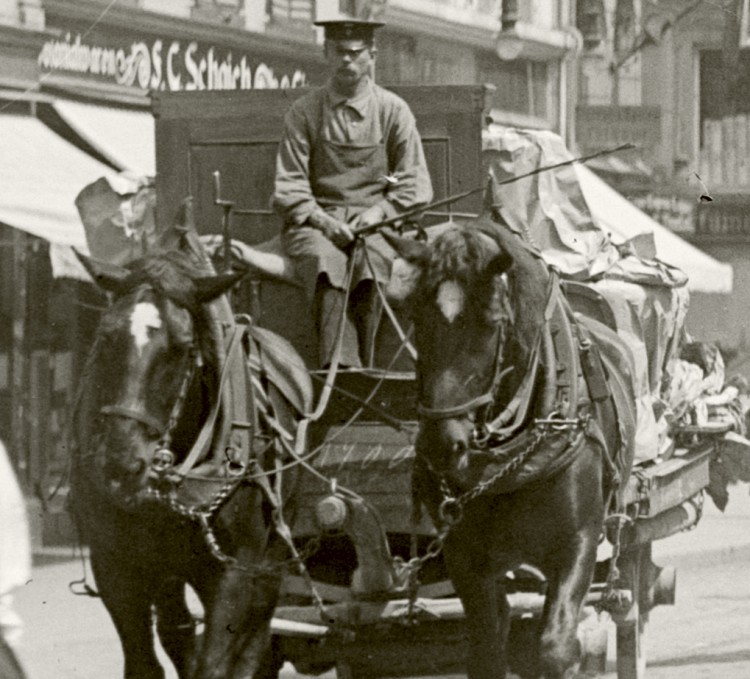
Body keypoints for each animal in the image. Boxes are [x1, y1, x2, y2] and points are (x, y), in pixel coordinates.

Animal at [68, 230, 308, 679]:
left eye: (180, 348)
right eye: (106, 337)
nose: (121, 464)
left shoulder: (235, 571)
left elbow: (215, 664)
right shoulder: (114, 565)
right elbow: (145, 663)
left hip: (271, 557)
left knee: (256, 633)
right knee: (177, 630)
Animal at [384, 214, 636, 679]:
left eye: (492, 322)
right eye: (416, 317)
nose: (442, 444)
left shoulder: (578, 541)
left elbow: (556, 648)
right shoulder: (464, 555)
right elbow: (487, 646)